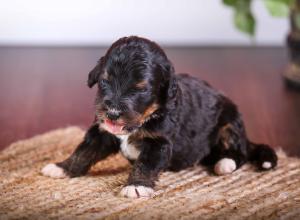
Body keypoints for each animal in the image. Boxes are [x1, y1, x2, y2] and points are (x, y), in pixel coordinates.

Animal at [41, 35, 278, 198]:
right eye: (104, 81)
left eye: (140, 89)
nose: (113, 113)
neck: (144, 119)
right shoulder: (102, 132)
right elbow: (84, 151)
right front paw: (62, 167)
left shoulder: (159, 142)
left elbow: (146, 163)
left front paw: (136, 186)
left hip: (230, 121)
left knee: (241, 151)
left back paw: (225, 163)